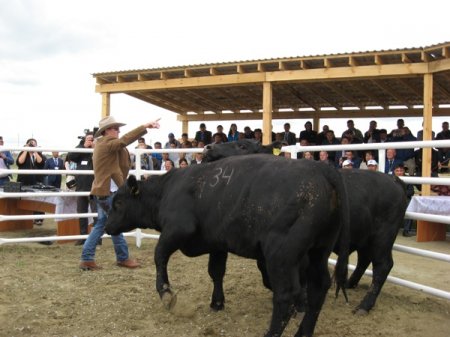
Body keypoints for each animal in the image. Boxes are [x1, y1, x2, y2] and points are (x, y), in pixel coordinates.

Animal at [106, 155, 352, 336]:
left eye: (118, 203)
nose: (107, 226)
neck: (167, 190)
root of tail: (322, 170)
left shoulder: (178, 229)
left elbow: (160, 256)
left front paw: (166, 294)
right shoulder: (217, 243)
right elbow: (216, 271)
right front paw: (217, 302)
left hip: (281, 255)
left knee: (286, 295)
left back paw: (271, 333)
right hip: (319, 251)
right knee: (319, 287)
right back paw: (303, 332)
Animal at [204, 138, 408, 314]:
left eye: (243, 146)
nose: (208, 148)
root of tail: (394, 181)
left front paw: (300, 304)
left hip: (383, 236)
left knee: (382, 266)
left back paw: (365, 305)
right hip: (365, 237)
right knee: (365, 258)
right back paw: (351, 283)